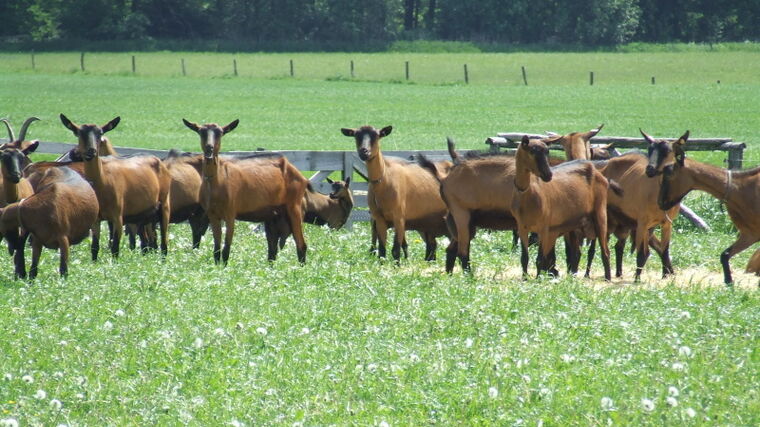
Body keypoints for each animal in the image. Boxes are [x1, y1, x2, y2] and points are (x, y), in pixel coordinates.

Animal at [59, 113, 172, 260]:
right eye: (78, 133)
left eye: (100, 133)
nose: (91, 151)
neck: (102, 183)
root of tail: (158, 160)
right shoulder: (96, 219)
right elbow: (94, 247)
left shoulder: (117, 216)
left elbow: (115, 248)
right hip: (143, 213)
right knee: (146, 241)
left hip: (164, 204)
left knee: (164, 242)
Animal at [183, 118, 308, 264]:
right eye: (201, 132)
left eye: (220, 133)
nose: (209, 148)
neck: (217, 182)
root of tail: (301, 177)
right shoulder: (212, 214)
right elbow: (216, 250)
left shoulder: (230, 213)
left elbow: (226, 250)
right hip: (273, 216)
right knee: (272, 250)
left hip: (294, 207)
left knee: (301, 245)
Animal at [342, 125, 448, 262]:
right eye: (356, 136)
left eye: (376, 136)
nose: (364, 151)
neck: (384, 179)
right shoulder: (379, 219)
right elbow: (382, 251)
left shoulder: (399, 217)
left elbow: (396, 250)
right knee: (432, 246)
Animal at [510, 137, 612, 282]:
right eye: (532, 151)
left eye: (547, 151)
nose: (548, 175)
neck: (528, 193)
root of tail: (599, 174)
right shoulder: (522, 227)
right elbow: (524, 257)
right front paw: (524, 278)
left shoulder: (544, 228)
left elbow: (540, 259)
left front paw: (538, 278)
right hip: (574, 224)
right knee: (576, 253)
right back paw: (573, 275)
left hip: (600, 213)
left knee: (605, 250)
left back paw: (608, 277)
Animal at [644, 132, 760, 286]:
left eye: (669, 172)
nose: (661, 202)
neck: (741, 188)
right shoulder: (750, 233)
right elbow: (725, 255)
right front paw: (729, 282)